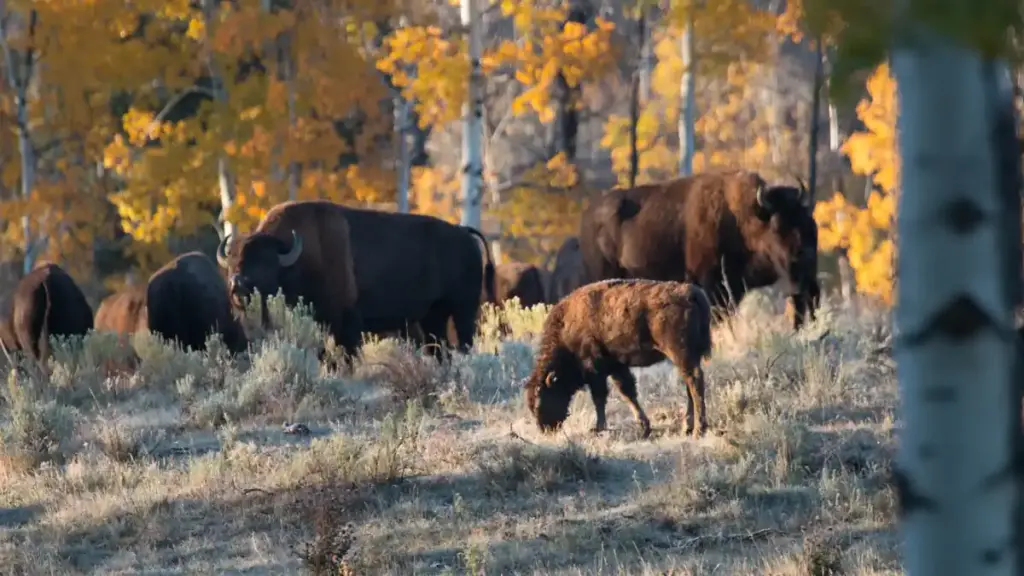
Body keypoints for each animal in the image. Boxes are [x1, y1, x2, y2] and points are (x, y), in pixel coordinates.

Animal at [218, 201, 496, 362]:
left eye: (265, 263)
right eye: (231, 263)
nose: (237, 285)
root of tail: (463, 233)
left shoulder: (345, 319)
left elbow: (347, 351)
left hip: (463, 310)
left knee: (464, 341)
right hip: (433, 316)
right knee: (439, 346)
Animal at [525, 279, 713, 438]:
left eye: (540, 403)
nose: (545, 430)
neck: (566, 327)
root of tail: (692, 294)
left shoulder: (594, 369)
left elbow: (600, 398)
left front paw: (598, 428)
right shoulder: (616, 366)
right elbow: (628, 392)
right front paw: (644, 427)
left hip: (679, 353)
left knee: (695, 381)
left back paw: (698, 430)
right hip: (689, 356)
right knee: (690, 384)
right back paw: (687, 428)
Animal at [578, 170, 820, 328]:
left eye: (807, 220)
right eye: (778, 225)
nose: (804, 255)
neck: (744, 218)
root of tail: (589, 218)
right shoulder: (710, 284)